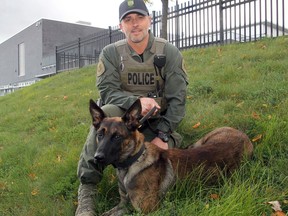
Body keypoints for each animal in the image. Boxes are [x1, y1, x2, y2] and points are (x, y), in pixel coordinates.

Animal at [89, 98, 253, 215]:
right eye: (100, 135)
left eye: (117, 137)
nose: (97, 157)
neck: (133, 162)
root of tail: (244, 135)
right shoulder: (123, 205)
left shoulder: (146, 210)